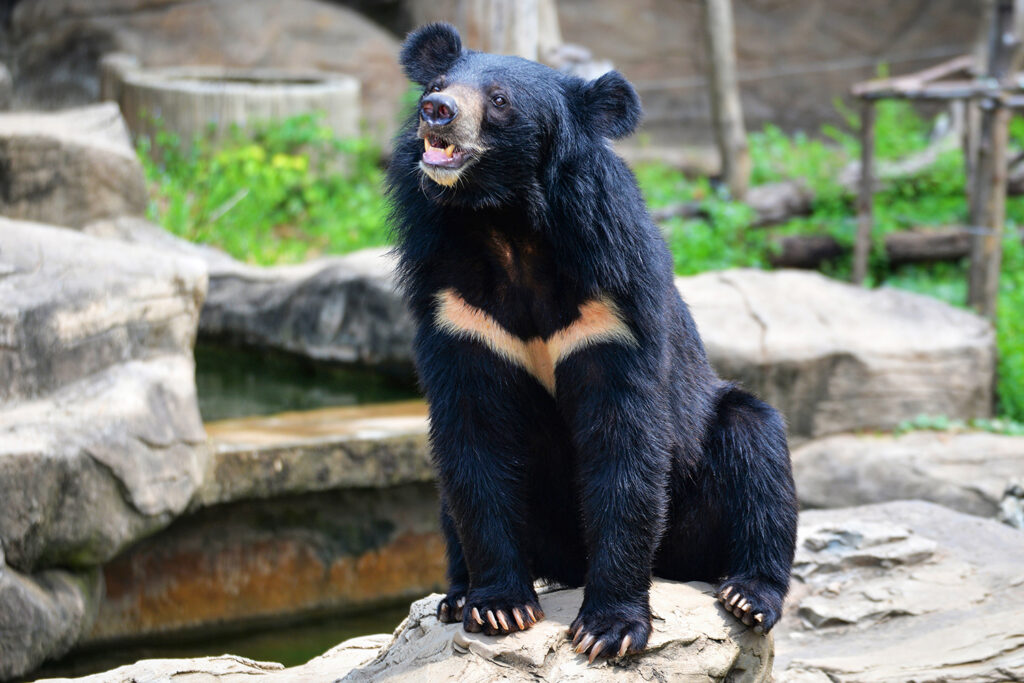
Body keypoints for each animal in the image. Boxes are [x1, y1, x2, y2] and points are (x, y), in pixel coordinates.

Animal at [386, 22, 798, 661]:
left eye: (500, 100)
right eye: (435, 84)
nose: (438, 112)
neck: (505, 225)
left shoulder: (611, 305)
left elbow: (623, 442)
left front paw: (608, 630)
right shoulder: (458, 313)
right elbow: (474, 442)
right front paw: (499, 607)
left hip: (702, 486)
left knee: (757, 447)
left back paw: (747, 594)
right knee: (448, 500)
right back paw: (454, 595)